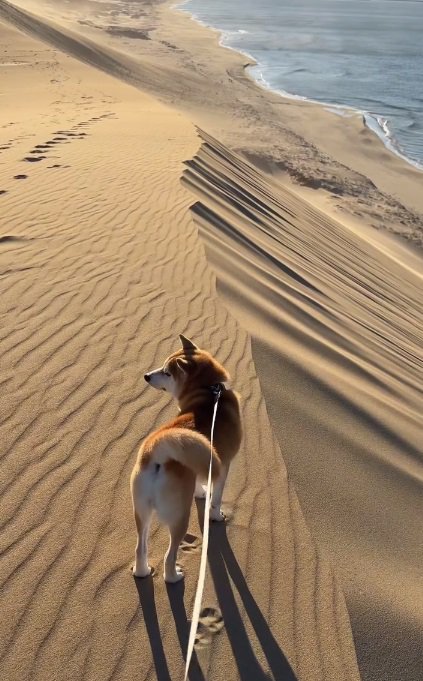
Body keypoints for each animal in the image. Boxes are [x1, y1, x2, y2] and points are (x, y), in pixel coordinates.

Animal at [131, 334, 242, 580]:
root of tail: (156, 451)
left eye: (167, 372)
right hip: (179, 516)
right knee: (169, 556)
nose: (146, 376)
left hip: (141, 511)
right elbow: (216, 497)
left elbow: (201, 482)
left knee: (140, 548)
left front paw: (200, 493)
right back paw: (174, 576)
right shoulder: (224, 465)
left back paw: (143, 572)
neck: (209, 391)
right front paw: (216, 515)